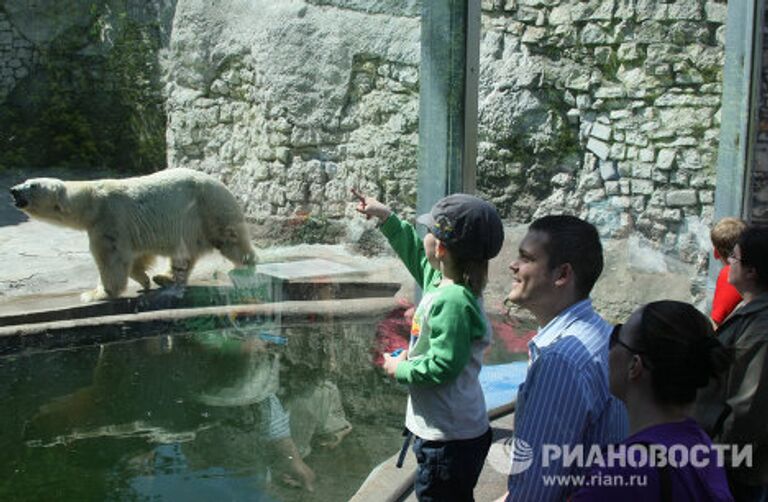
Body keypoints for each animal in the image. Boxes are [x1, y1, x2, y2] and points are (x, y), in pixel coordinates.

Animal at [9, 169, 256, 302]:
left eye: (31, 185)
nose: (13, 190)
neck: (90, 201)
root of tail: (223, 185)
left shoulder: (109, 219)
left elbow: (111, 258)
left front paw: (95, 294)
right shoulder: (126, 227)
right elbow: (137, 256)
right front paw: (144, 279)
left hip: (210, 208)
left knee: (230, 239)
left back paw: (247, 265)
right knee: (184, 255)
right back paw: (164, 278)